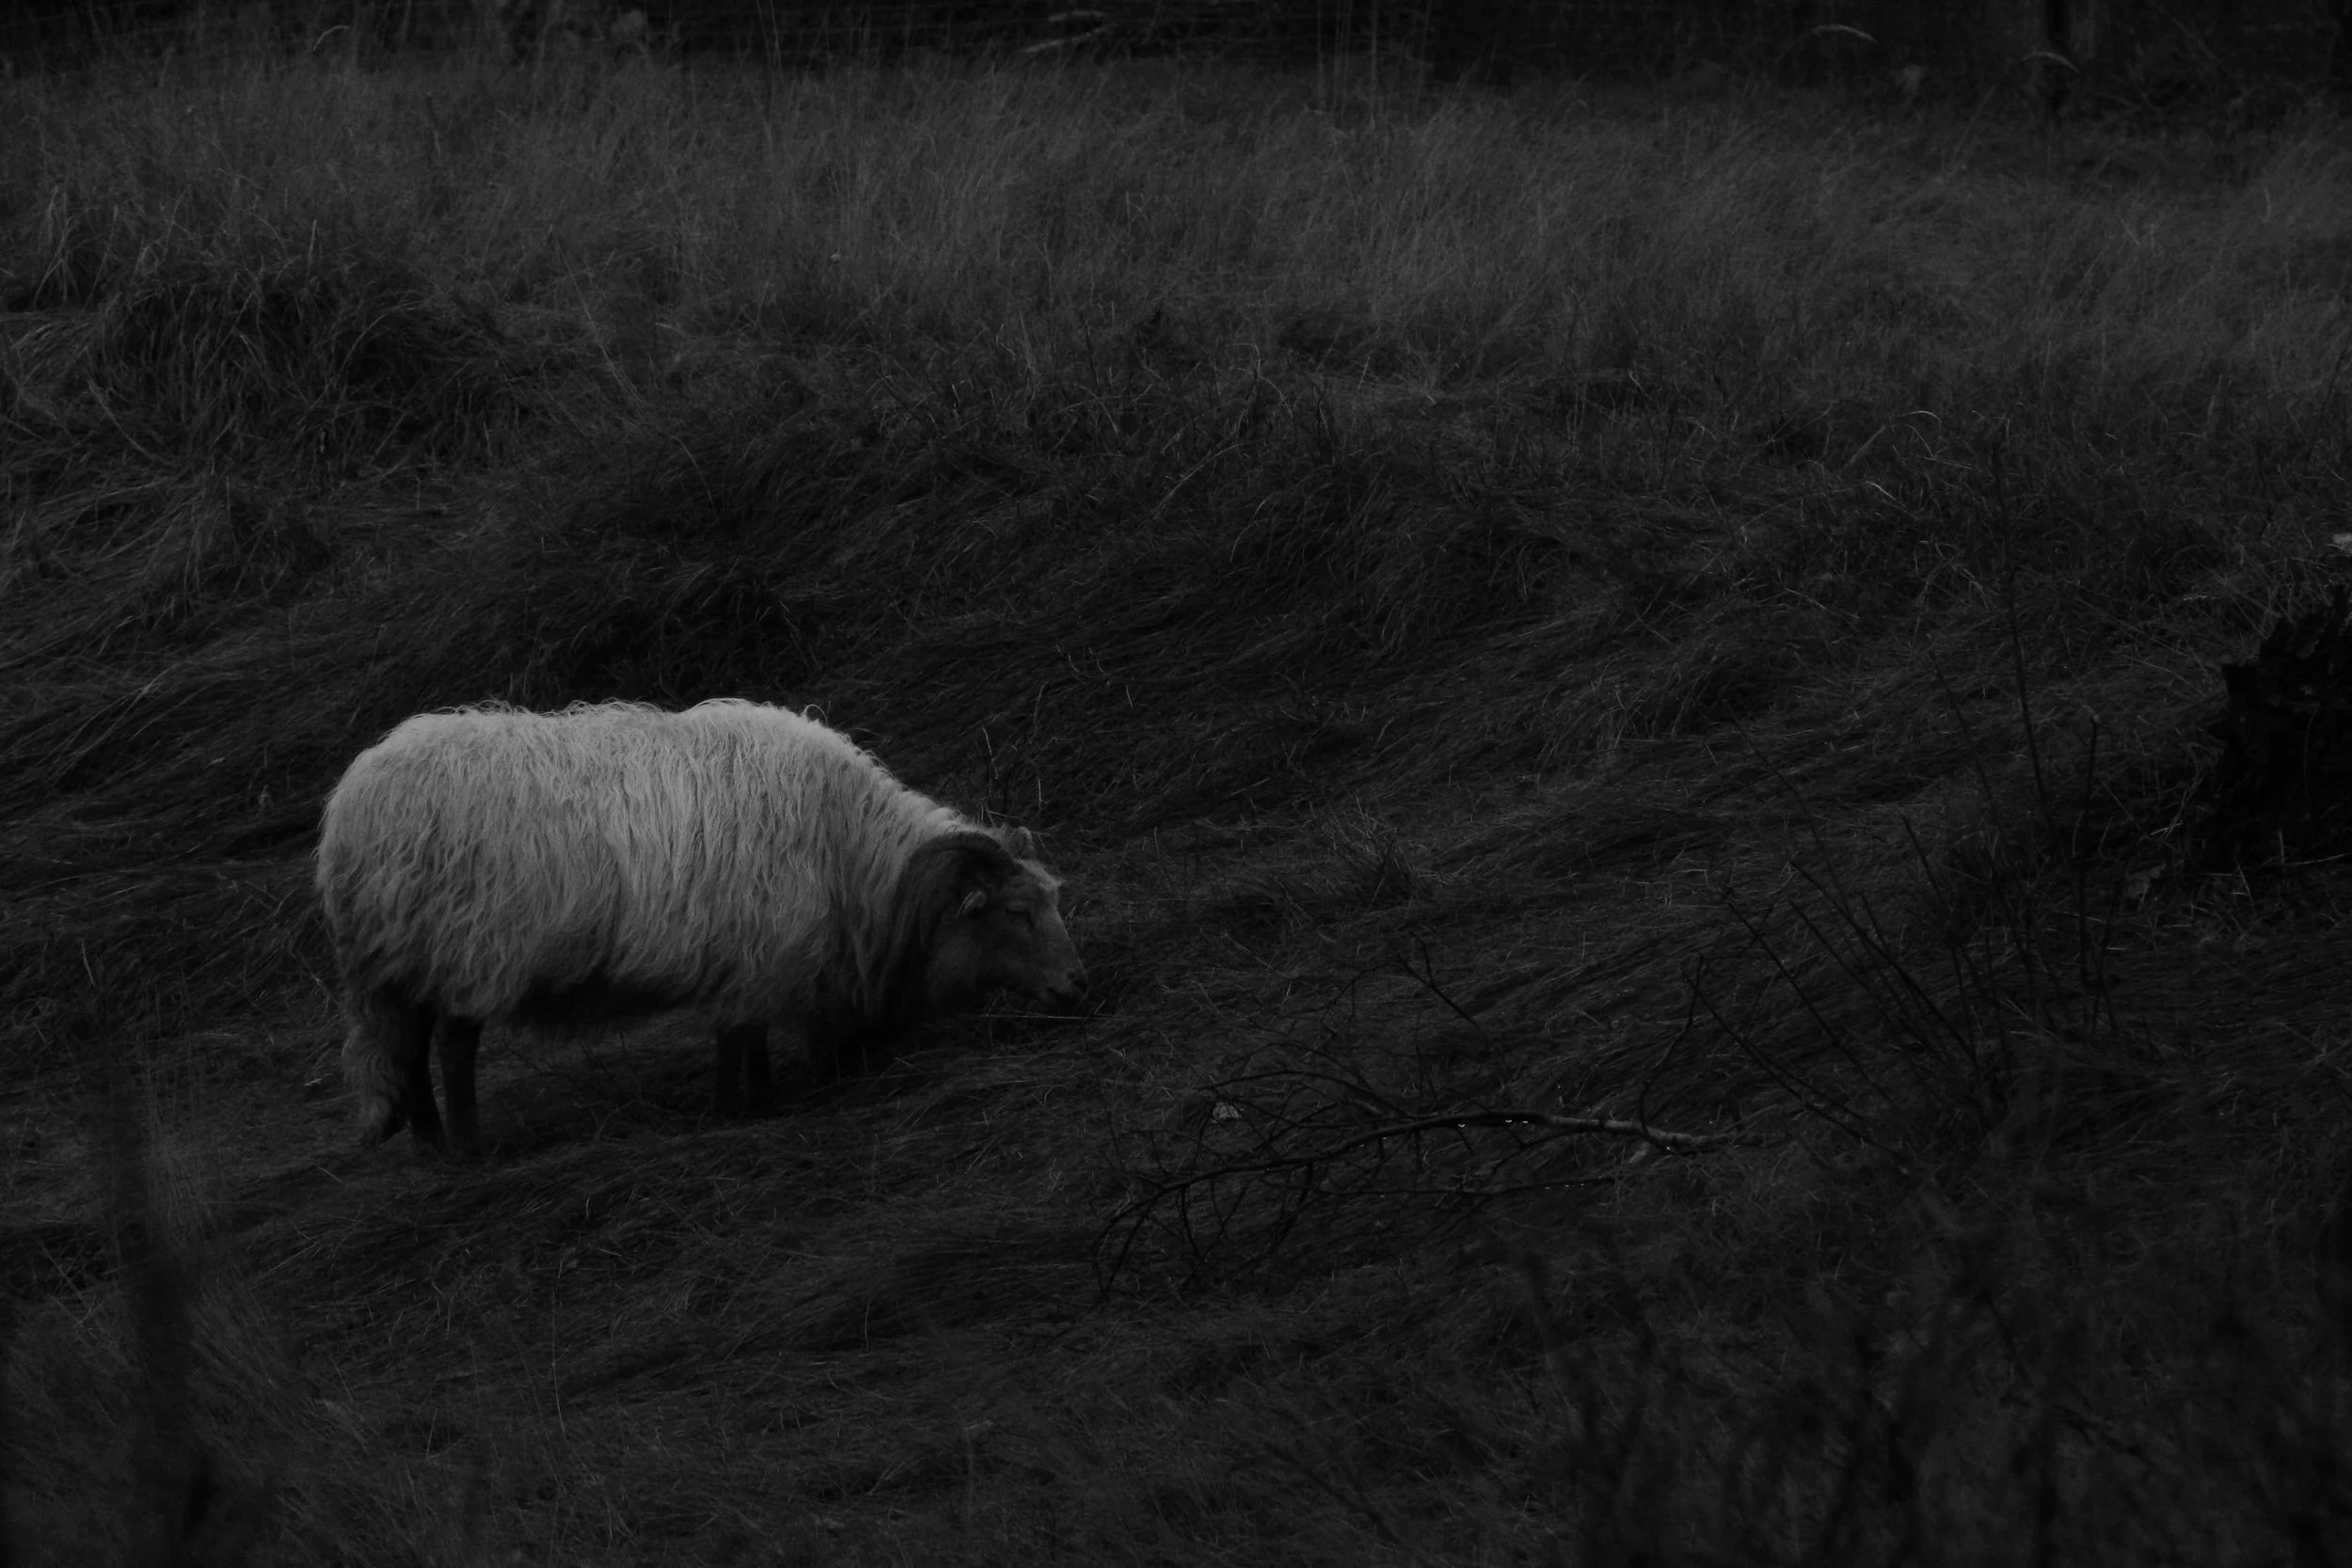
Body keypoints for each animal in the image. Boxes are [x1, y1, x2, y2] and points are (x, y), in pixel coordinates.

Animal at [316, 699, 1086, 1156]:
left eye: (1055, 901)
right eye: (1017, 913)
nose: (1078, 986)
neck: (854, 857)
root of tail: (352, 808)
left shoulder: (759, 957)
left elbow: (750, 1036)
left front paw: (765, 1098)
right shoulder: (758, 948)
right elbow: (734, 1038)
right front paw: (731, 1110)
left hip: (408, 955)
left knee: (408, 1048)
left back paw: (431, 1148)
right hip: (470, 944)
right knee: (450, 1046)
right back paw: (471, 1153)